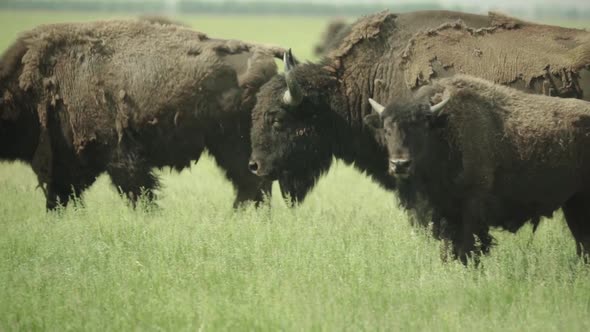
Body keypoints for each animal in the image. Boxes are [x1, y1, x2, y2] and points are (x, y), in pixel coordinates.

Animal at [0, 19, 294, 209]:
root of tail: (261, 50)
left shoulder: (119, 157)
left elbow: (138, 193)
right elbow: (61, 197)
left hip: (234, 145)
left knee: (252, 183)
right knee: (252, 184)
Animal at [366, 74, 590, 262]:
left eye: (421, 128)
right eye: (386, 130)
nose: (400, 164)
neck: (444, 132)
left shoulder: (471, 208)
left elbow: (468, 248)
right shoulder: (445, 213)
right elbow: (449, 249)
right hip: (573, 203)